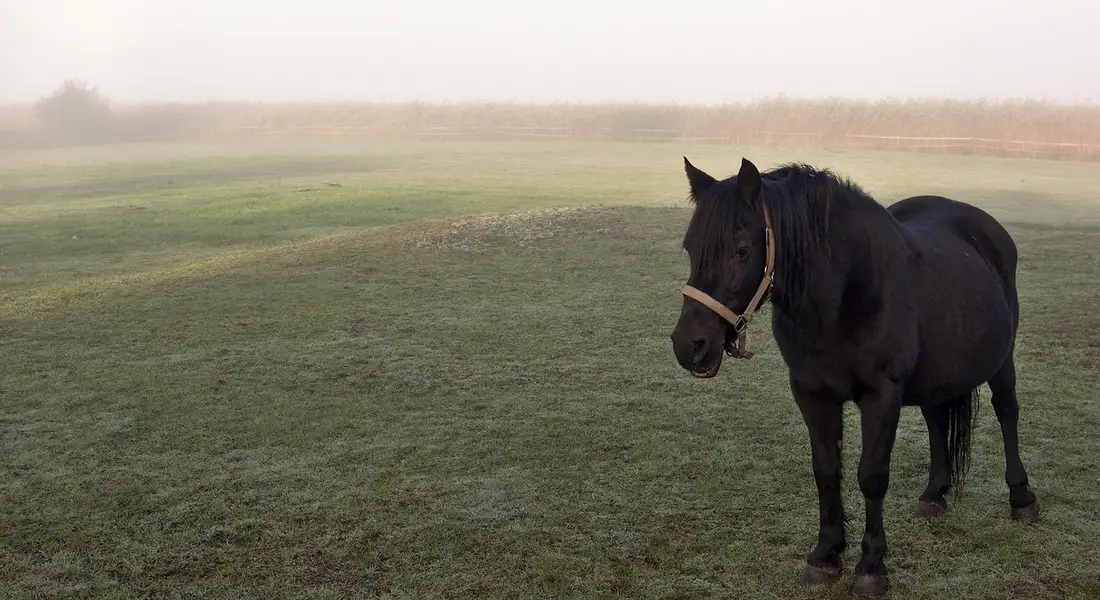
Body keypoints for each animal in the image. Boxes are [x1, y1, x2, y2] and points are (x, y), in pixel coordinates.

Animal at [669, 157, 1041, 596]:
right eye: (690, 247)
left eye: (741, 250)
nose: (689, 345)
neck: (842, 296)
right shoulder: (812, 394)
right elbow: (827, 471)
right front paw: (825, 556)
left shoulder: (881, 397)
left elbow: (871, 477)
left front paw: (871, 566)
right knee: (936, 418)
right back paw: (934, 494)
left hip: (1003, 361)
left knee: (1007, 412)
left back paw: (1022, 497)